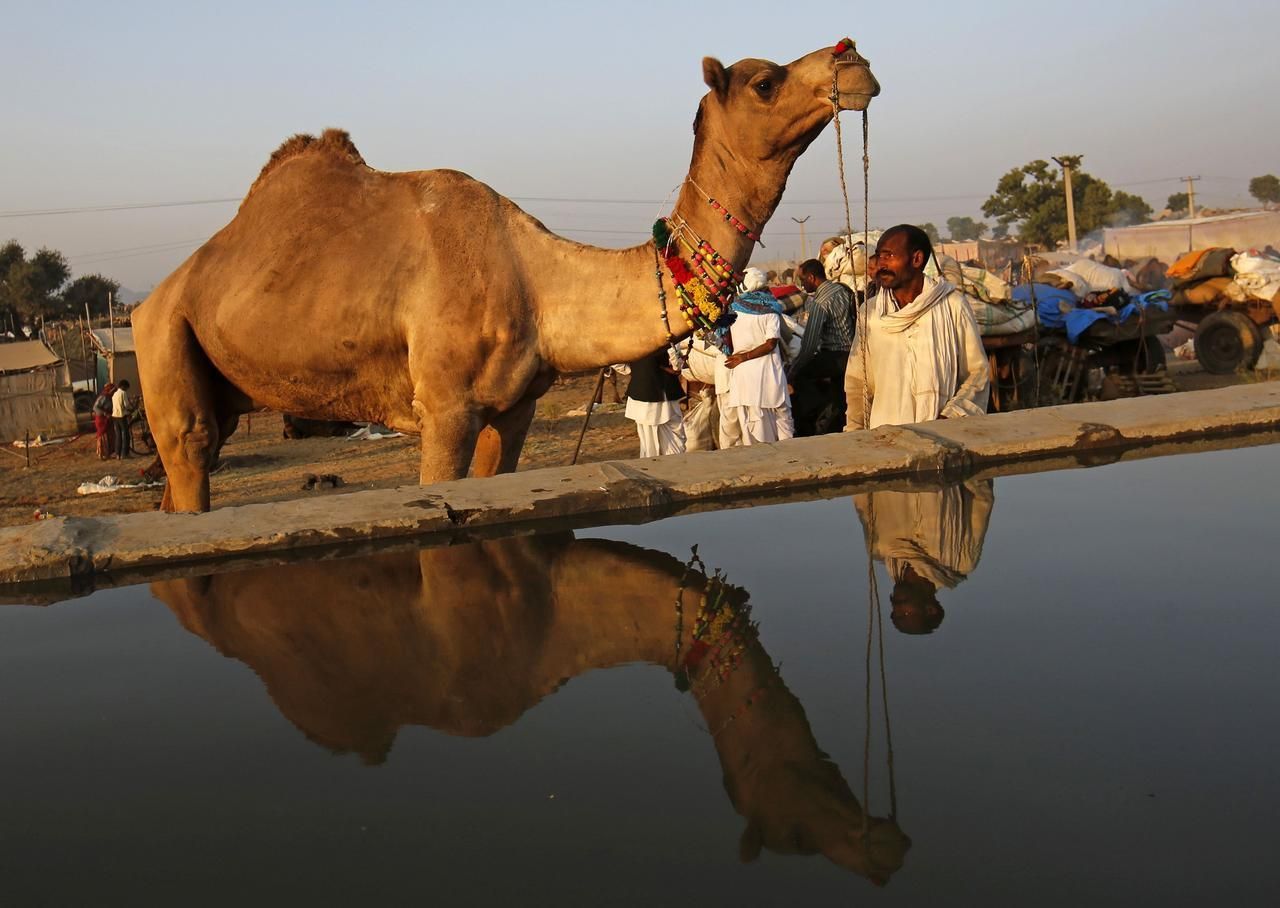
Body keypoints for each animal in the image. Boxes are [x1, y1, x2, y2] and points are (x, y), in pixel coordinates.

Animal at [132, 42, 880, 509]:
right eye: (765, 82)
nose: (853, 58)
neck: (538, 280)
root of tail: (159, 292)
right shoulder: (444, 409)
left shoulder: (515, 409)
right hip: (163, 335)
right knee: (189, 445)